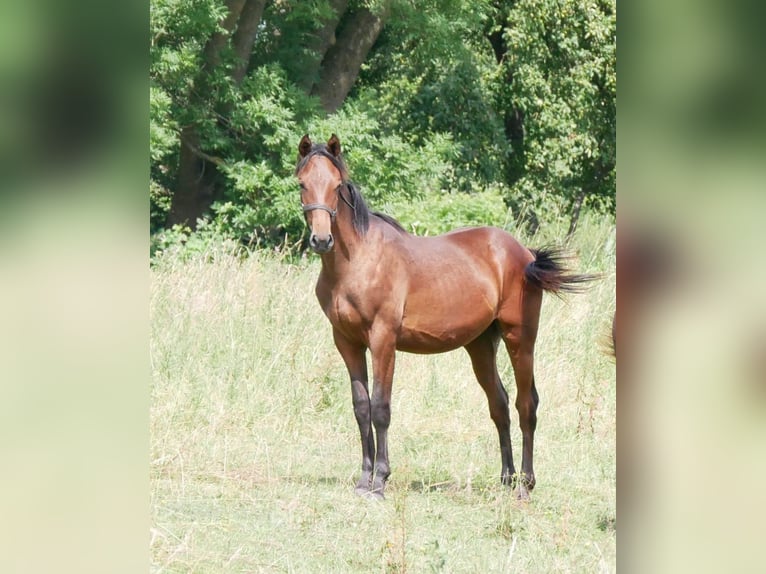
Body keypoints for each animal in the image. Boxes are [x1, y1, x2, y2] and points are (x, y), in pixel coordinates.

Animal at [295, 134, 595, 500]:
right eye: (303, 183)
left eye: (337, 185)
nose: (321, 240)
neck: (358, 261)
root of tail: (524, 253)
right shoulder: (347, 342)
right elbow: (361, 407)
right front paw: (364, 480)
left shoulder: (383, 340)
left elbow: (381, 408)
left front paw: (380, 481)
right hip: (481, 346)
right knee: (500, 405)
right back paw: (506, 478)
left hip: (520, 339)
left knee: (526, 404)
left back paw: (525, 484)